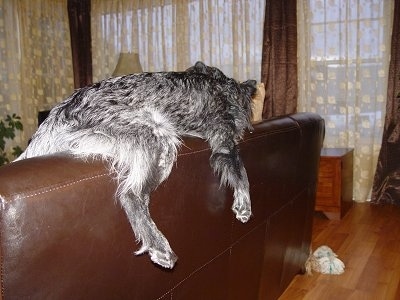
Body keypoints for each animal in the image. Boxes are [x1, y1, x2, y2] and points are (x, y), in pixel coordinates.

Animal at [15, 61, 258, 270]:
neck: (222, 86)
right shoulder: (223, 142)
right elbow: (242, 174)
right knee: (130, 194)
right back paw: (160, 246)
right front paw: (244, 206)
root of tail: (58, 114)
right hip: (159, 135)